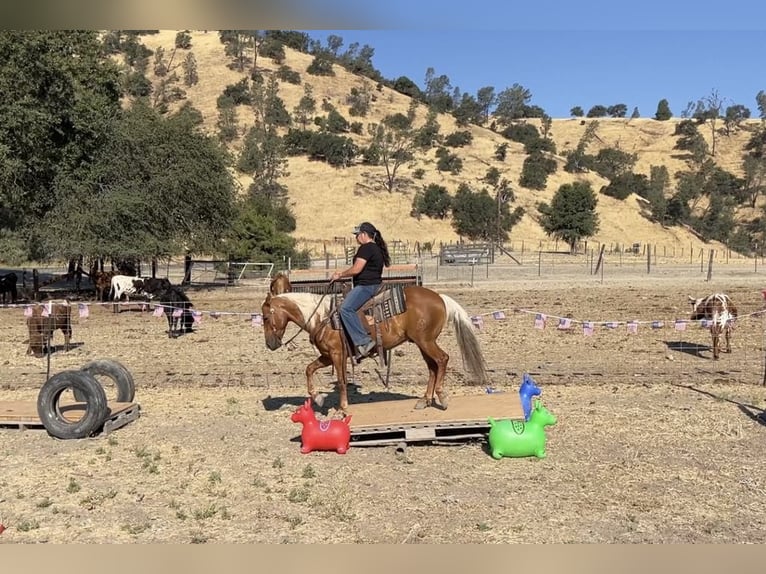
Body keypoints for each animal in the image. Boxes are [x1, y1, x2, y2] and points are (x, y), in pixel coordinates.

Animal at [261, 286, 489, 413]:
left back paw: (441, 396)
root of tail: (440, 297)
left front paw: (342, 408)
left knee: (442, 359)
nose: (270, 344)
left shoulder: (336, 354)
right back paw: (424, 401)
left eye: (265, 317)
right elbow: (309, 369)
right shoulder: (327, 356)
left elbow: (342, 381)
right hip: (423, 343)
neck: (322, 316)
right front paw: (318, 398)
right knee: (433, 367)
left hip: (426, 341)